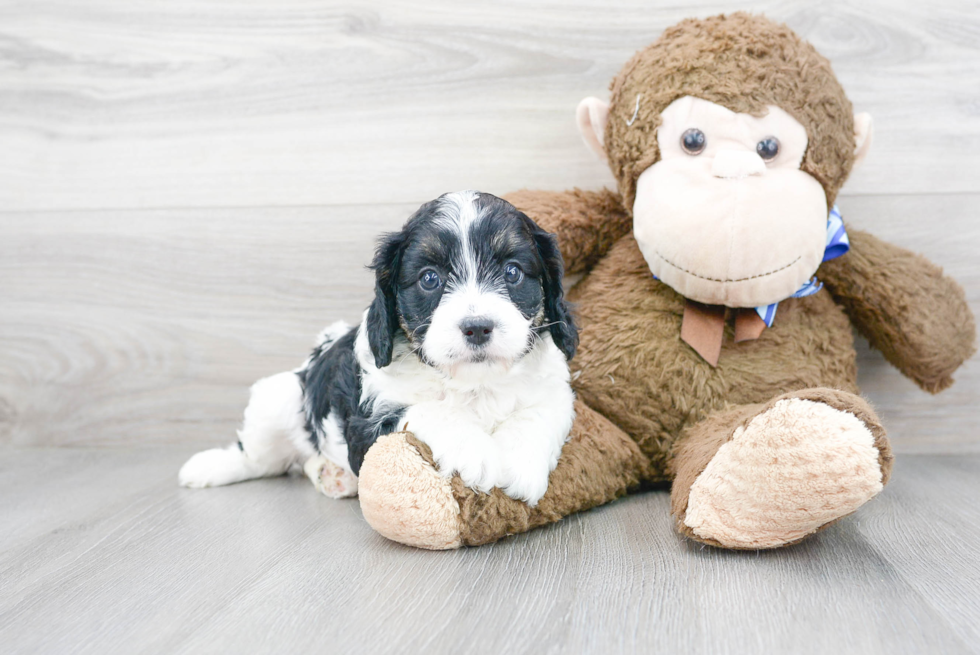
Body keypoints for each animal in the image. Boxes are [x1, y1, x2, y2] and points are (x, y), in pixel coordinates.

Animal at [178, 190, 576, 508]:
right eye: (429, 279)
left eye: (512, 272)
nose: (477, 327)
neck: (473, 384)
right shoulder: (366, 424)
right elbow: (429, 410)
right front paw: (477, 452)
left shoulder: (555, 391)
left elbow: (541, 412)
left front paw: (522, 463)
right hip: (277, 399)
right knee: (259, 458)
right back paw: (208, 467)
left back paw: (331, 475)